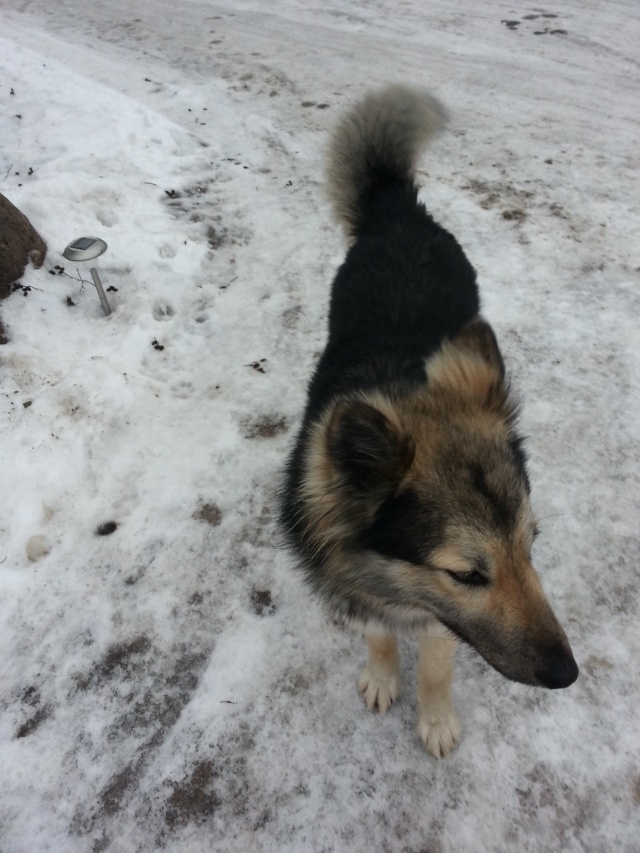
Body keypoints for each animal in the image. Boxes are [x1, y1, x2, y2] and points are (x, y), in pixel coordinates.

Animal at [279, 85, 578, 758]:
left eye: (532, 544)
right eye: (467, 573)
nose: (567, 674)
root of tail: (399, 213)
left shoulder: (441, 622)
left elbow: (439, 662)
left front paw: (436, 719)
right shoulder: (363, 585)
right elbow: (379, 634)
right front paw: (384, 676)